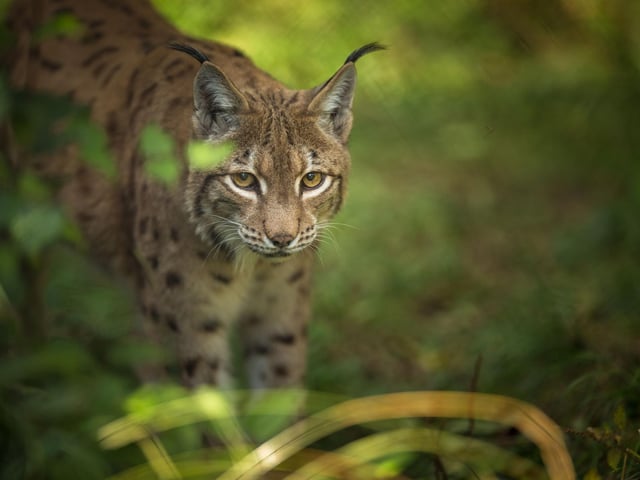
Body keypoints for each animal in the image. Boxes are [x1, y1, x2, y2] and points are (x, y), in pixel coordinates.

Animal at [5, 0, 382, 392]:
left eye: (311, 180)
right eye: (244, 180)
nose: (282, 239)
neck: (250, 267)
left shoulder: (282, 314)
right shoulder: (186, 324)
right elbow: (203, 404)